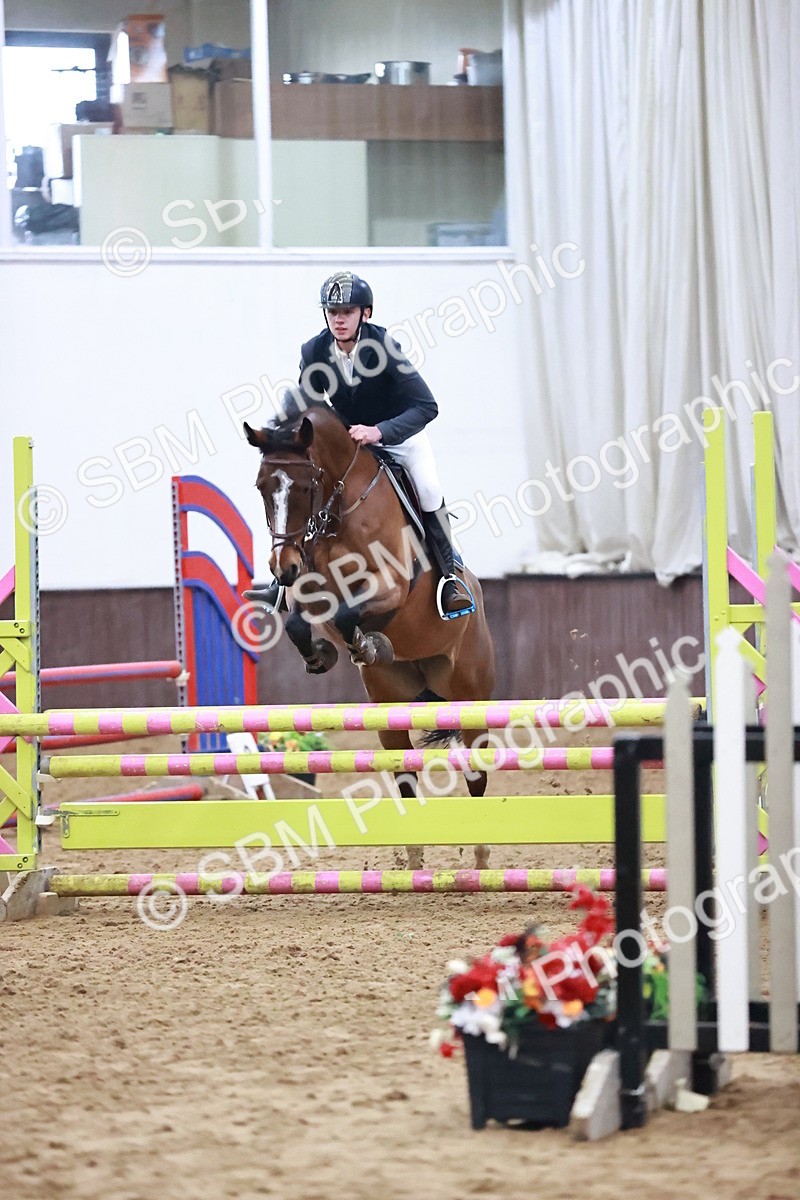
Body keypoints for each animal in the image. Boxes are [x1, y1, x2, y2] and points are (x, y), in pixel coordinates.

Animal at [244, 402, 496, 868]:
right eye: (262, 487)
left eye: (305, 486)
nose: (282, 567)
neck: (337, 514)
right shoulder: (310, 589)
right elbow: (298, 622)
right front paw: (322, 655)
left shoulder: (391, 586)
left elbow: (351, 613)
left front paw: (367, 644)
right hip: (390, 708)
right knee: (405, 777)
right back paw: (414, 866)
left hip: (471, 697)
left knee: (476, 774)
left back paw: (482, 857)